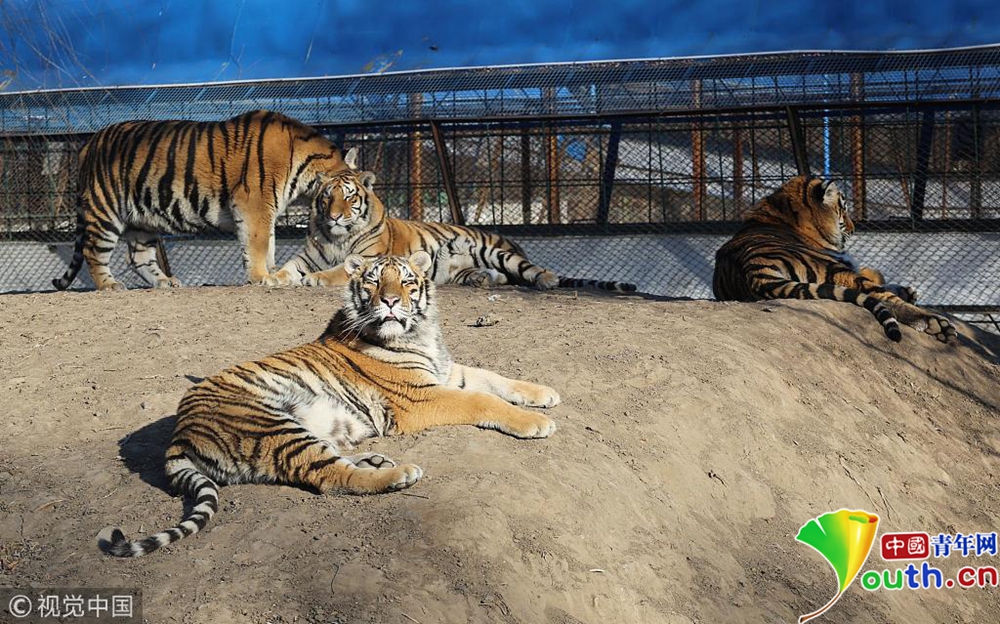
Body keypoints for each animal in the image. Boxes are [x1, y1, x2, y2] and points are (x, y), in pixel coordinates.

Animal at [53, 110, 347, 291]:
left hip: (141, 219)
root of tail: (89, 144)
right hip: (105, 211)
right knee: (93, 252)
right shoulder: (254, 204)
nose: (337, 218)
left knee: (138, 257)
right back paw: (109, 285)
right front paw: (263, 277)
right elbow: (258, 243)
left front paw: (273, 272)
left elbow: (270, 243)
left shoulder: (266, 210)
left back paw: (165, 282)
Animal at [100, 251, 560, 558]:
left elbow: (493, 377)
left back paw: (377, 460)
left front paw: (544, 393)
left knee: (336, 460)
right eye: (373, 282)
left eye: (407, 281)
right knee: (329, 476)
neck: (420, 334)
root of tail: (179, 434)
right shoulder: (420, 397)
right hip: (273, 424)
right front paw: (535, 423)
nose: (390, 301)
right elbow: (481, 399)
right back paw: (398, 473)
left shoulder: (444, 373)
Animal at [272, 149, 637, 292]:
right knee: (501, 277)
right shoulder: (307, 255)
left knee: (529, 271)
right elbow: (289, 267)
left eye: (349, 198)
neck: (338, 237)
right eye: (326, 198)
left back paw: (546, 280)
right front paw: (274, 278)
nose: (334, 216)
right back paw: (484, 279)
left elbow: (335, 271)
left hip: (496, 251)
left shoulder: (367, 259)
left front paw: (315, 280)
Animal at [713, 175, 956, 343]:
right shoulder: (843, 262)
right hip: (834, 269)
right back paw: (937, 324)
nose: (854, 228)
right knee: (881, 296)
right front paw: (906, 291)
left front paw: (908, 290)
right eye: (844, 209)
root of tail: (753, 270)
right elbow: (874, 274)